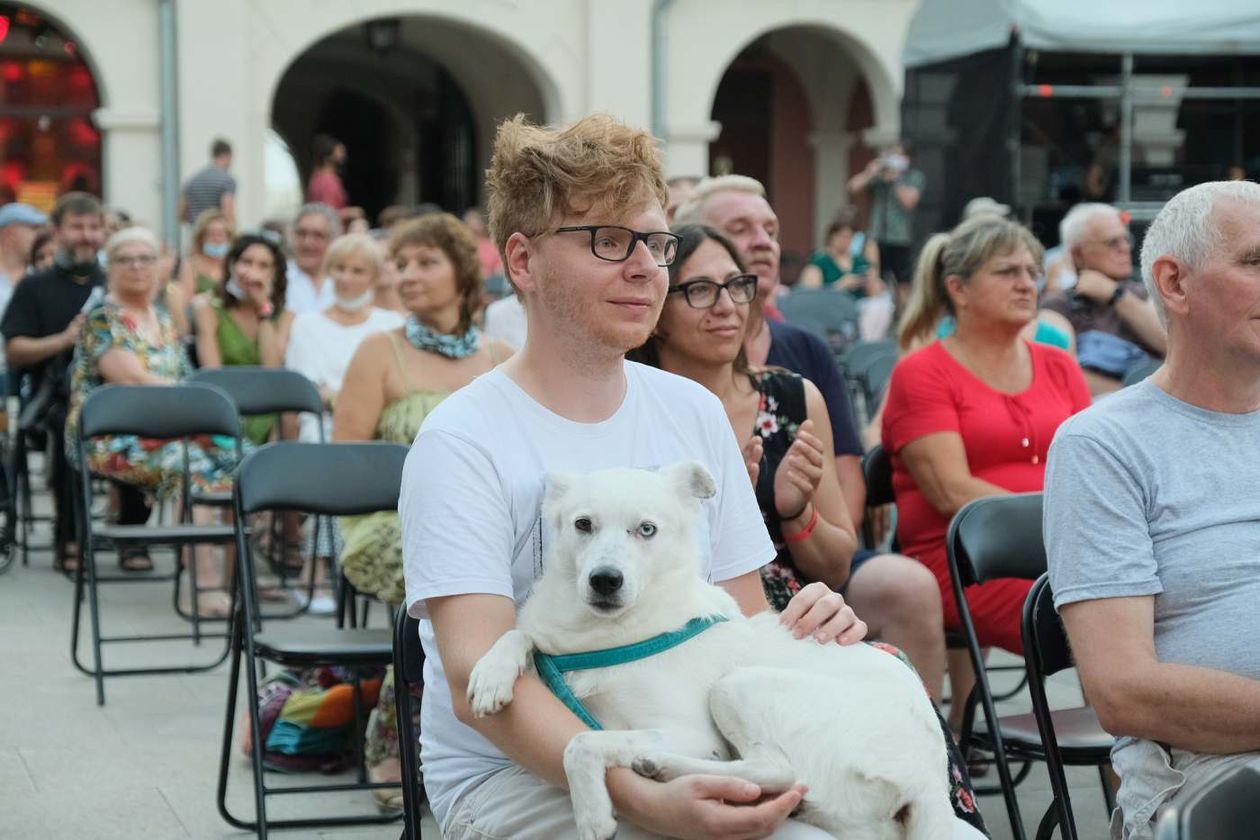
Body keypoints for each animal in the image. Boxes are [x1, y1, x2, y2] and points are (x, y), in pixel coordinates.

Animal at [471, 463, 952, 836]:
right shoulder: (554, 650)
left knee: (776, 770)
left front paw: (591, 813)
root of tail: (932, 778)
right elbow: (522, 635)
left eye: (647, 529)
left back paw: (666, 764)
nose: (604, 580)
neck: (613, 636)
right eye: (582, 524)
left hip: (738, 685)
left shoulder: (690, 730)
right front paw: (491, 675)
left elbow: (582, 742)